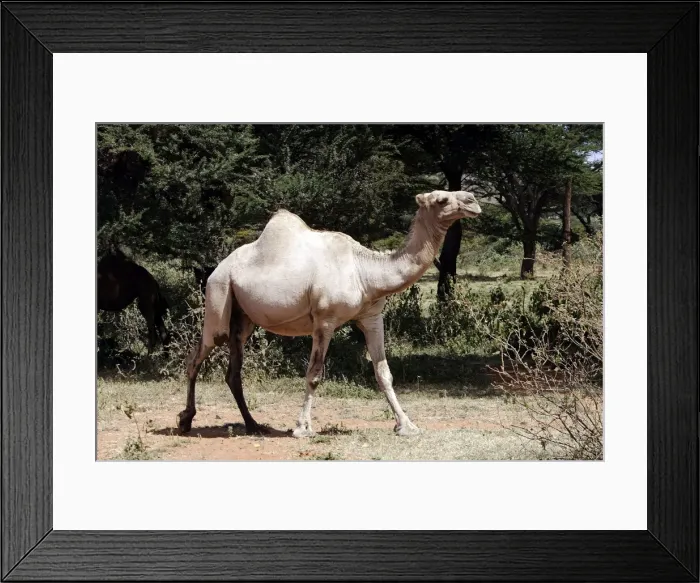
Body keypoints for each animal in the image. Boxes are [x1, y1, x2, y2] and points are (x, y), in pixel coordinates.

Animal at [177, 190, 482, 437]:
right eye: (441, 199)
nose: (473, 200)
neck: (365, 271)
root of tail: (217, 268)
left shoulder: (372, 317)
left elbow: (384, 373)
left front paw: (407, 425)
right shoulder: (324, 320)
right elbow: (314, 373)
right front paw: (302, 428)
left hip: (243, 319)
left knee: (233, 371)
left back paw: (253, 425)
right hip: (218, 295)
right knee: (197, 357)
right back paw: (185, 421)